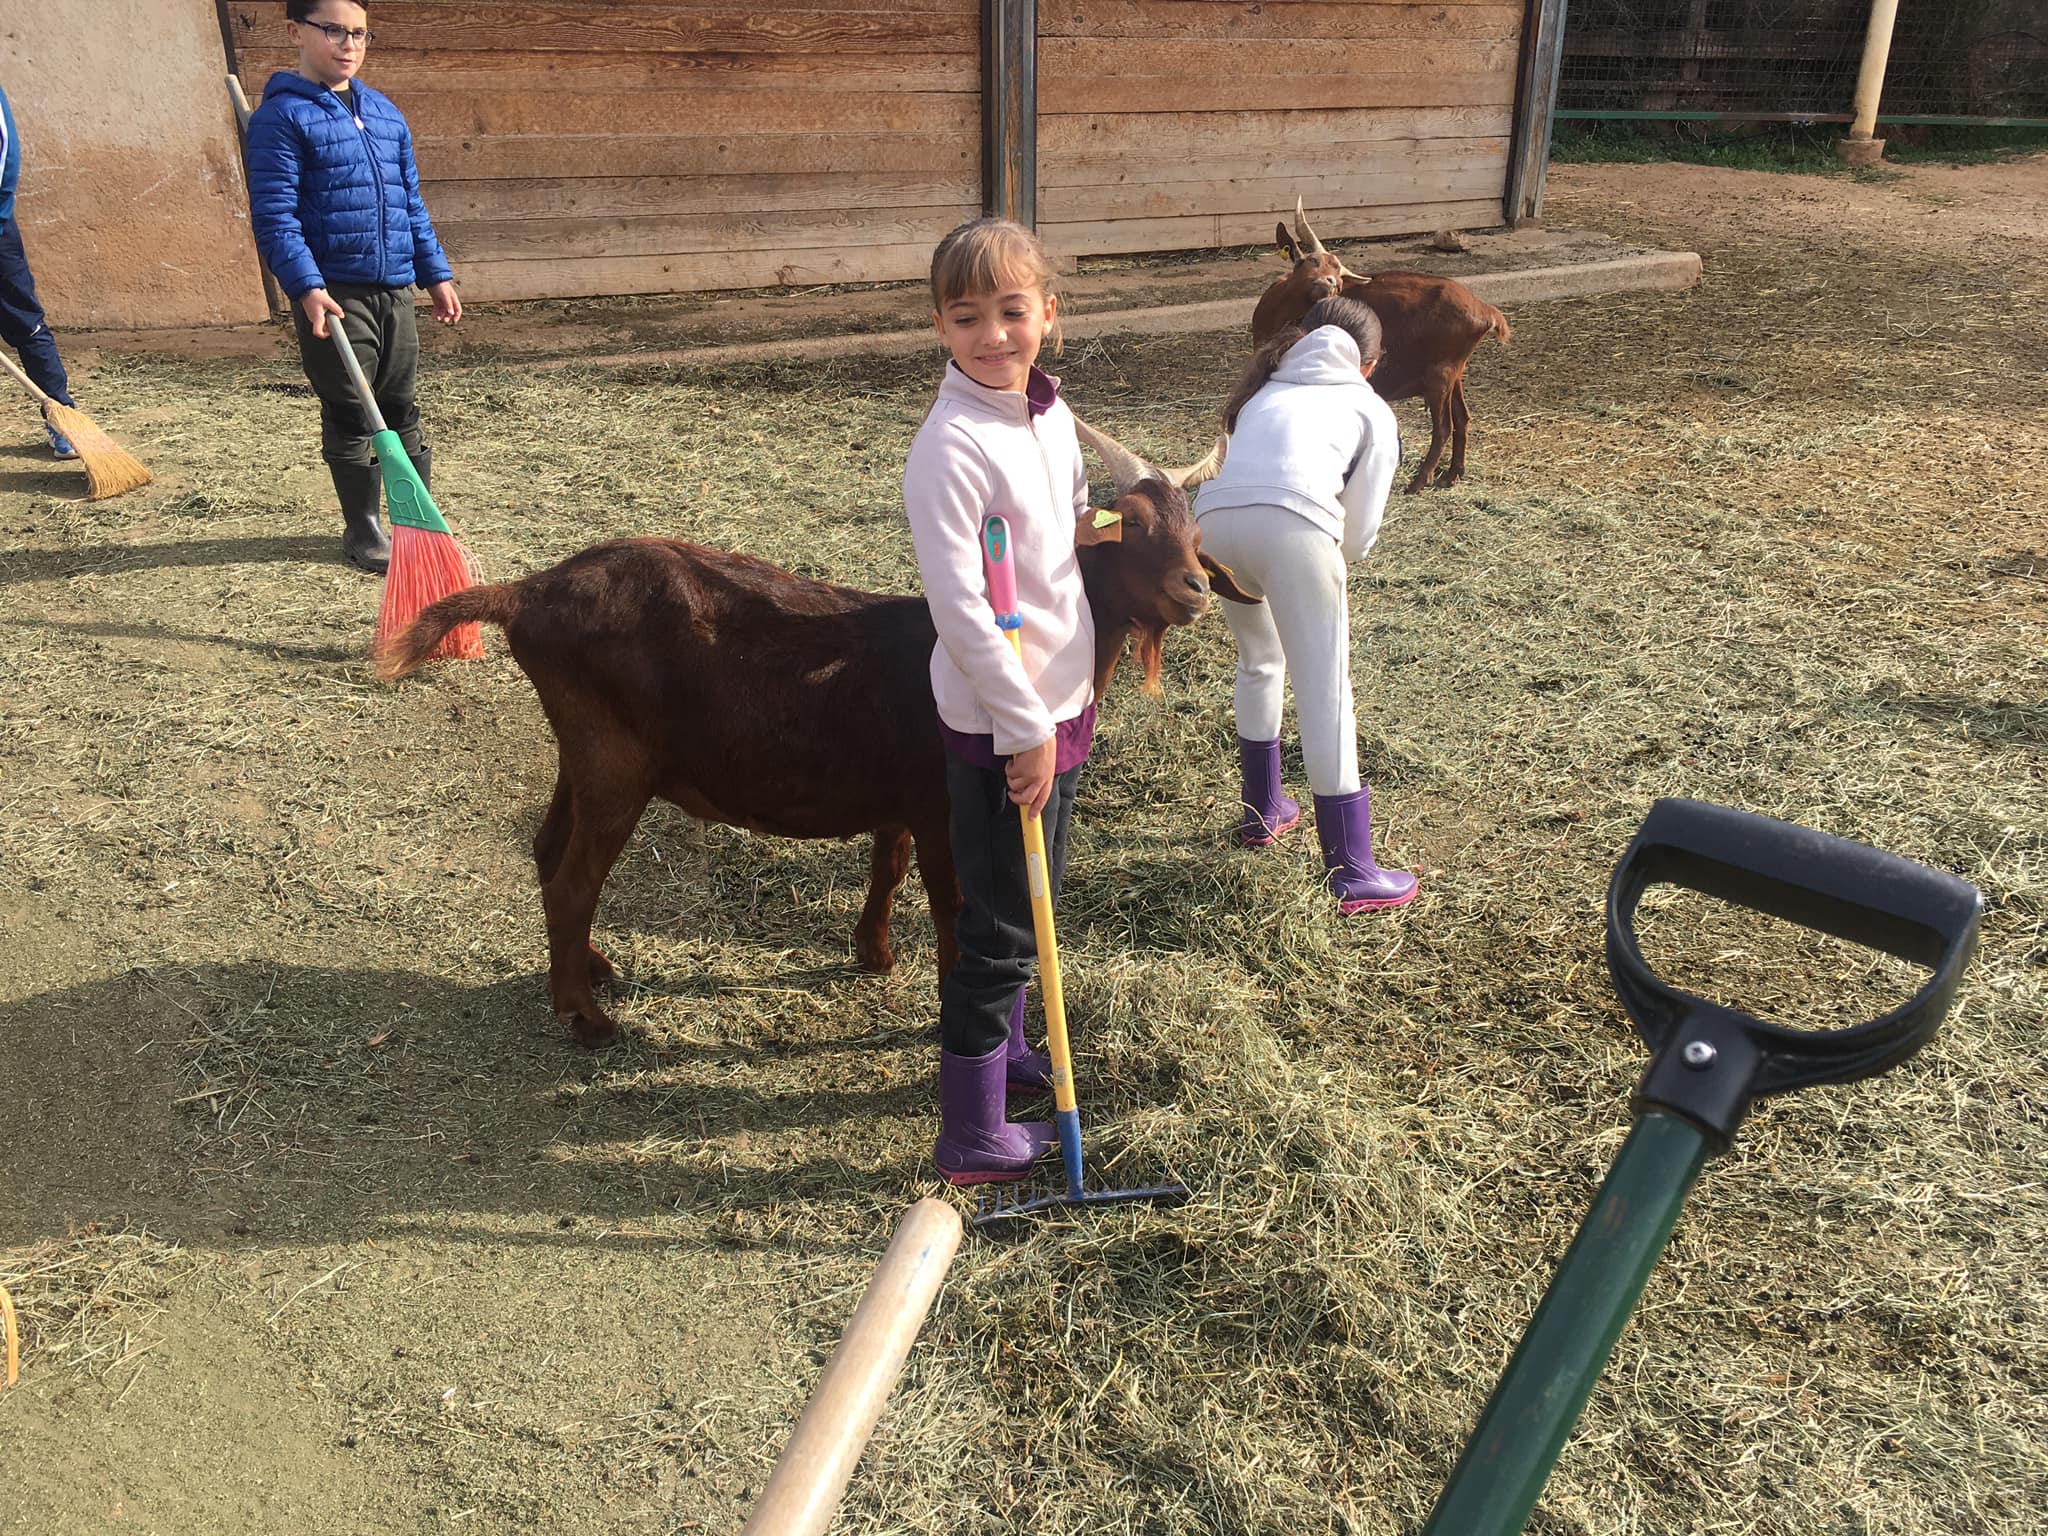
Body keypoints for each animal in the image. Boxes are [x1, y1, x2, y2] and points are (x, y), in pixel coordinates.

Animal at [376, 444, 1253, 1048]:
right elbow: (950, 902)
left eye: (1196, 537)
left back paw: (588, 968)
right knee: (572, 880)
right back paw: (586, 1019)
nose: (1194, 590)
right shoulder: (942, 805)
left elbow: (886, 866)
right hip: (614, 762)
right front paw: (945, 1007)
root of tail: (527, 592)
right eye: (1130, 529)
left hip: (582, 751)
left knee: (547, 848)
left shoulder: (899, 794)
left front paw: (873, 953)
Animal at [1236, 198, 1515, 487]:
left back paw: (1418, 482)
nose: (1331, 283)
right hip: (1455, 371)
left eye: (1339, 274)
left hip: (1441, 373)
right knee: (1462, 417)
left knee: (1443, 427)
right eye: (1312, 260)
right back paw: (1451, 475)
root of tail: (1485, 311)